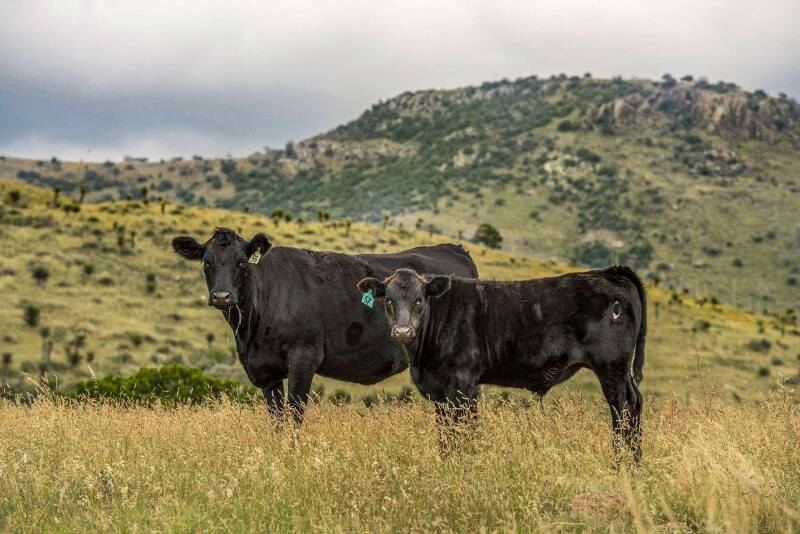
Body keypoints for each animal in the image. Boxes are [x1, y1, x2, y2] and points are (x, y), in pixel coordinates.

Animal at [171, 228, 479, 425]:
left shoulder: (304, 357)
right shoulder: (265, 370)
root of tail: (453, 248)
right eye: (206, 261)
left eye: (242, 262)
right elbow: (277, 419)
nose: (222, 296)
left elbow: (294, 413)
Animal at [357, 266, 647, 461]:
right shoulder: (440, 391)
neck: (422, 359)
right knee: (635, 403)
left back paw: (621, 462)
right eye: (389, 300)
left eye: (419, 300)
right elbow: (446, 430)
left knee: (623, 406)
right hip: (621, 370)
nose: (402, 331)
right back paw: (635, 461)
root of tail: (609, 273)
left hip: (611, 365)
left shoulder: (463, 383)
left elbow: (463, 427)